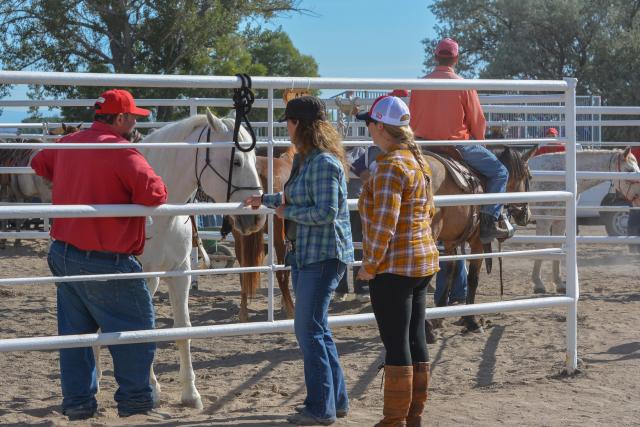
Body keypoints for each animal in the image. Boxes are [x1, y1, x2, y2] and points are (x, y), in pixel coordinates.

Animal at [91, 111, 264, 412]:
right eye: (236, 161)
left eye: (255, 158)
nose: (254, 217)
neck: (158, 214)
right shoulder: (137, 277)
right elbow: (141, 329)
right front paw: (152, 390)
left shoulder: (180, 273)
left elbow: (182, 329)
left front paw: (190, 394)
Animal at [524, 148, 640, 294]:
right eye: (630, 170)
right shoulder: (544, 221)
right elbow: (541, 247)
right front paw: (538, 284)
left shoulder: (560, 221)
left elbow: (558, 247)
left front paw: (559, 284)